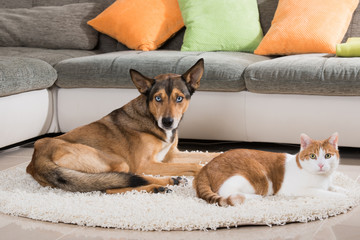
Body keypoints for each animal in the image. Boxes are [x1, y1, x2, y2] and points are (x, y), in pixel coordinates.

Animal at [26, 59, 219, 194]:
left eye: (179, 98)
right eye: (158, 98)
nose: (167, 122)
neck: (150, 118)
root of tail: (37, 158)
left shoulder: (171, 156)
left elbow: (208, 155)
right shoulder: (147, 163)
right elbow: (195, 165)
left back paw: (168, 182)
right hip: (118, 162)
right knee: (116, 184)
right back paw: (161, 185)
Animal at [193, 133, 348, 206]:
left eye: (327, 156)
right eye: (313, 156)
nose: (321, 165)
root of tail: (206, 166)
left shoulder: (328, 183)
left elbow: (334, 187)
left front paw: (347, 191)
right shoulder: (300, 190)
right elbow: (324, 193)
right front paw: (343, 197)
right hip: (256, 178)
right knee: (227, 192)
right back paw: (257, 197)